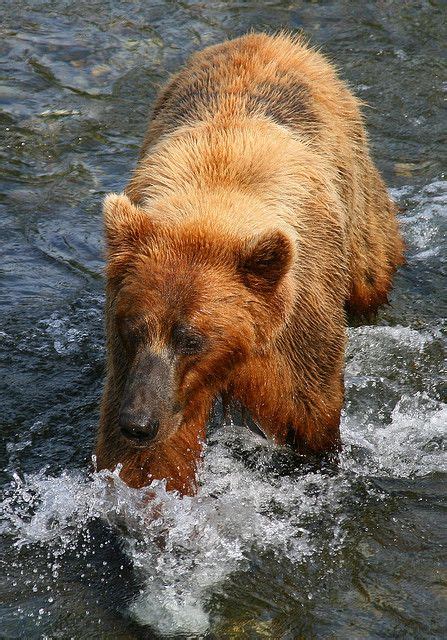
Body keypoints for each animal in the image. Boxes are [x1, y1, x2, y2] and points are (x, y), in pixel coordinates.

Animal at [97, 33, 406, 496]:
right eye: (133, 327)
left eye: (191, 338)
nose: (138, 423)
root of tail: (274, 39)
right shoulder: (136, 367)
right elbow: (151, 462)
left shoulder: (296, 330)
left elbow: (307, 414)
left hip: (360, 207)